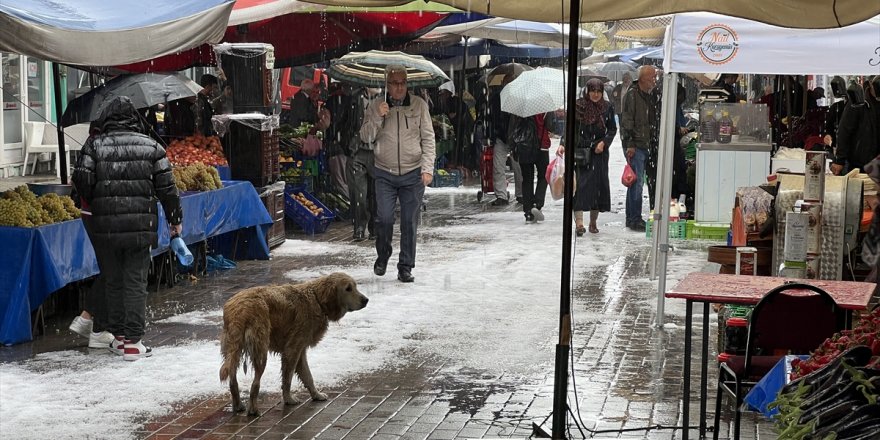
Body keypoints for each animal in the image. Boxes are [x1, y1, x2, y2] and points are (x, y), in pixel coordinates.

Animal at [223, 272, 372, 416]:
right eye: (348, 288)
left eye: (355, 286)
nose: (366, 300)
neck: (317, 300)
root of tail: (241, 309)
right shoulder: (292, 349)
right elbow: (287, 378)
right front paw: (288, 399)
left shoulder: (300, 350)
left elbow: (308, 376)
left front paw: (316, 395)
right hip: (260, 351)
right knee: (255, 384)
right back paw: (253, 409)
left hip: (233, 349)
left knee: (232, 379)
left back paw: (238, 405)